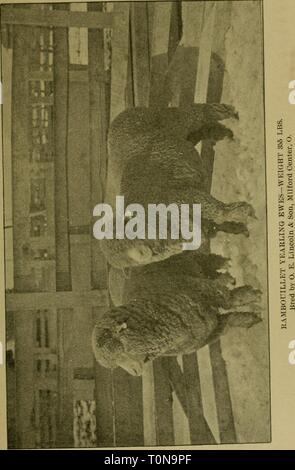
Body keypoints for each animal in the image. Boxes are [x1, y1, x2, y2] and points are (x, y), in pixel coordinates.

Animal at [92, 252, 262, 376]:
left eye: (118, 347)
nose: (135, 373)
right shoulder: (210, 333)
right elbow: (231, 320)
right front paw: (250, 319)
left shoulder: (207, 291)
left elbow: (231, 300)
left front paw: (252, 296)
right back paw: (226, 277)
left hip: (186, 260)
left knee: (204, 259)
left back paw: (223, 264)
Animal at [100, 104, 256, 270]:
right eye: (154, 254)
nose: (178, 244)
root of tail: (120, 117)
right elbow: (218, 223)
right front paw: (239, 227)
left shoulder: (186, 196)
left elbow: (218, 212)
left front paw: (242, 213)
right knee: (198, 131)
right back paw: (220, 132)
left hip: (174, 120)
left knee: (197, 112)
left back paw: (224, 112)